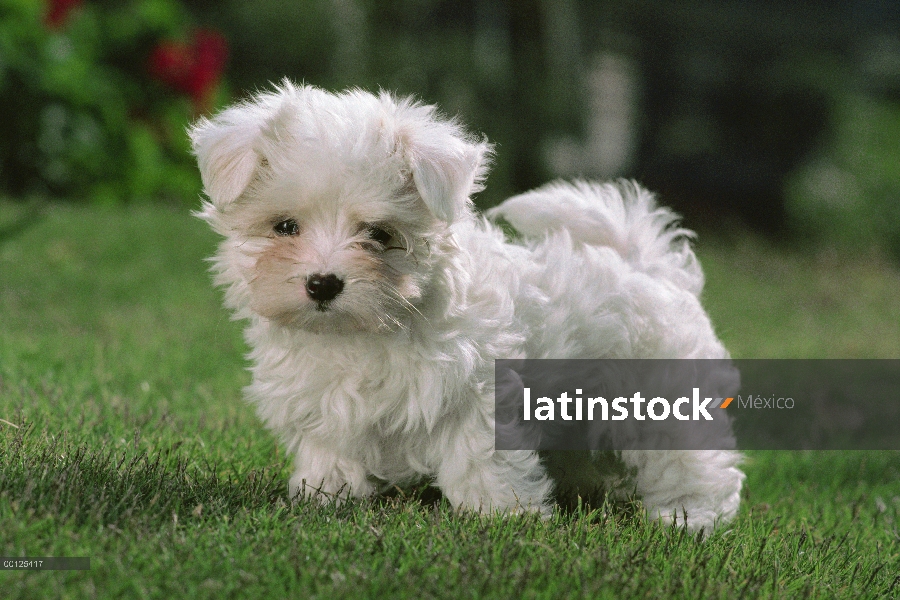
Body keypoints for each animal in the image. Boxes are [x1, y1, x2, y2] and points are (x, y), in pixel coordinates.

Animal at [192, 81, 744, 528]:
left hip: (663, 394)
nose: (323, 284)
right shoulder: (327, 403)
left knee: (690, 460)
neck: (367, 330)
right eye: (285, 226)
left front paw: (501, 517)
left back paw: (689, 517)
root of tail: (647, 266)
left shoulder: (477, 394)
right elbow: (331, 451)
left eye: (380, 235)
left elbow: (480, 459)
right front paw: (325, 496)